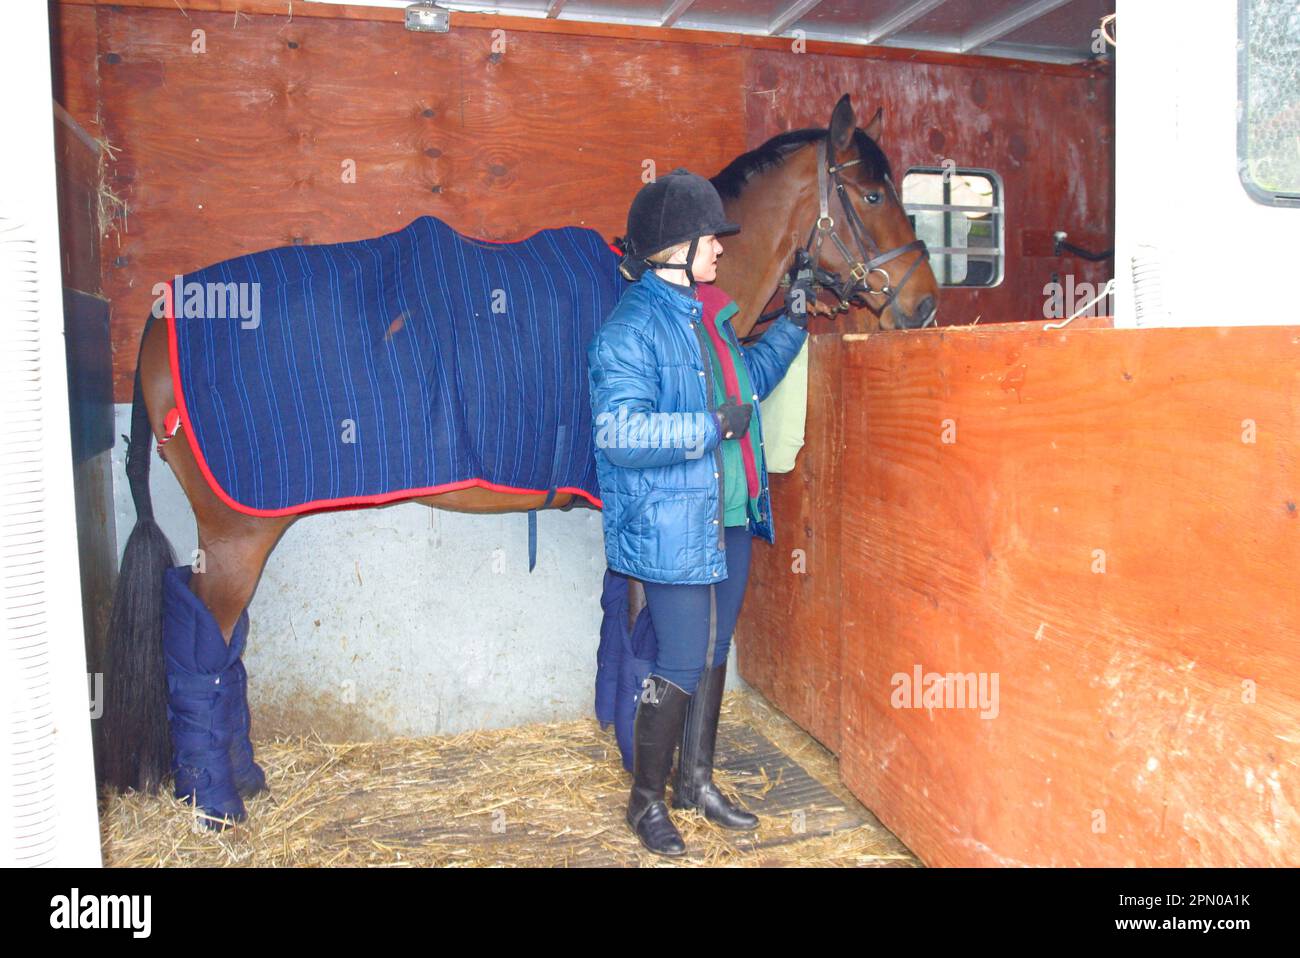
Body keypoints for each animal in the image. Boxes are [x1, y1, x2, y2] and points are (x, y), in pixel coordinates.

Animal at [99, 93, 939, 812]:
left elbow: (620, 634)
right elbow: (651, 641)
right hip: (240, 531)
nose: (925, 303)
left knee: (224, 647)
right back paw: (218, 802)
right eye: (871, 198)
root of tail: (163, 314)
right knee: (203, 650)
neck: (670, 289)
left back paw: (245, 780)